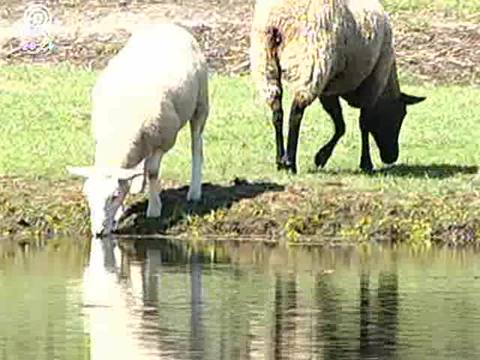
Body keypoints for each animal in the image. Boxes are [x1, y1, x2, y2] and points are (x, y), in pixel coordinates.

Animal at [67, 22, 208, 236]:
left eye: (114, 196)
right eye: (88, 195)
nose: (98, 232)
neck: (118, 132)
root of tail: (167, 24)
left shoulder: (164, 139)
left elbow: (153, 172)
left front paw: (154, 209)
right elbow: (131, 174)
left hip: (201, 104)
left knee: (196, 145)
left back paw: (194, 191)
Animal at [249, 0, 426, 174]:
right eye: (400, 115)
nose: (392, 157)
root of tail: (279, 19)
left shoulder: (328, 89)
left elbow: (340, 125)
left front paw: (321, 157)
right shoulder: (372, 85)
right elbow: (364, 123)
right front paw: (366, 163)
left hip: (265, 61)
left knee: (277, 111)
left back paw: (280, 161)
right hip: (313, 61)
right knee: (296, 113)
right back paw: (290, 163)